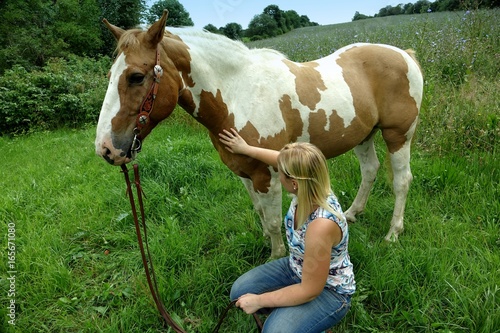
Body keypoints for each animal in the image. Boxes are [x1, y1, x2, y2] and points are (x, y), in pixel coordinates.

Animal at [94, 9, 422, 256]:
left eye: (136, 77)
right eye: (110, 75)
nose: (105, 148)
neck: (238, 95)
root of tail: (405, 55)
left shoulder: (269, 177)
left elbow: (275, 222)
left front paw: (277, 256)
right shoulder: (244, 173)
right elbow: (261, 215)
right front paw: (266, 241)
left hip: (398, 135)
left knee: (402, 181)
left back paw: (393, 233)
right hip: (365, 135)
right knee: (370, 170)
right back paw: (352, 214)